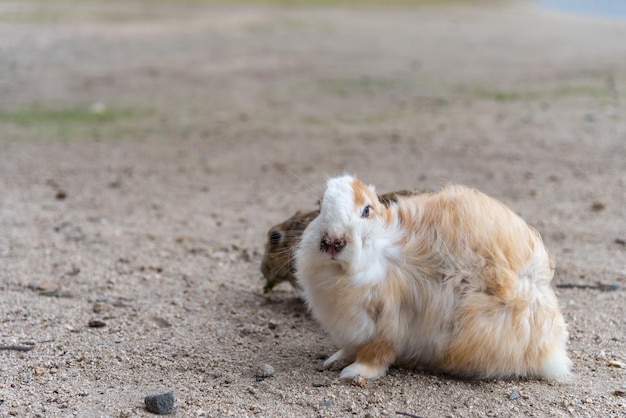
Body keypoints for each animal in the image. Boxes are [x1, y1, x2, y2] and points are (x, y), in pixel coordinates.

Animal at [294, 175, 568, 380]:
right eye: (319, 206)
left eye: (366, 211)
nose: (332, 242)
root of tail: (552, 347)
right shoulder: (352, 328)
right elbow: (349, 348)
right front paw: (334, 360)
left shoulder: (387, 323)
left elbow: (375, 354)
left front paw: (354, 373)